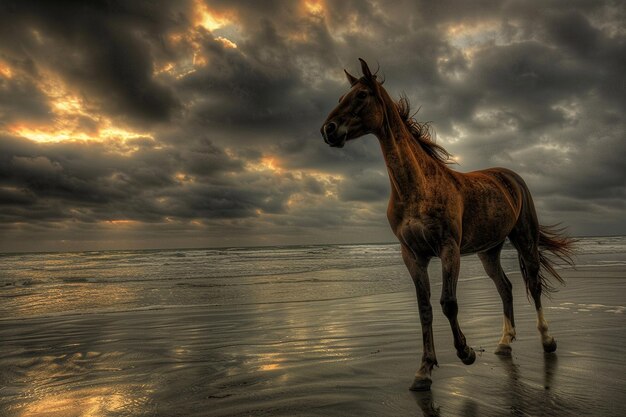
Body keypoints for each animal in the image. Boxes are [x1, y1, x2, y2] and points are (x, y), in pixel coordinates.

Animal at [320, 58, 572, 390]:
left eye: (361, 95)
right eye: (340, 98)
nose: (328, 130)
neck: (417, 187)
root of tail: (511, 177)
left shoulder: (448, 249)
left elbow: (448, 303)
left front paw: (466, 353)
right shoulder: (413, 255)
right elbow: (424, 308)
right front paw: (424, 370)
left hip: (525, 240)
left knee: (534, 284)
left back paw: (547, 340)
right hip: (488, 251)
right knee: (505, 288)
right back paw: (504, 342)